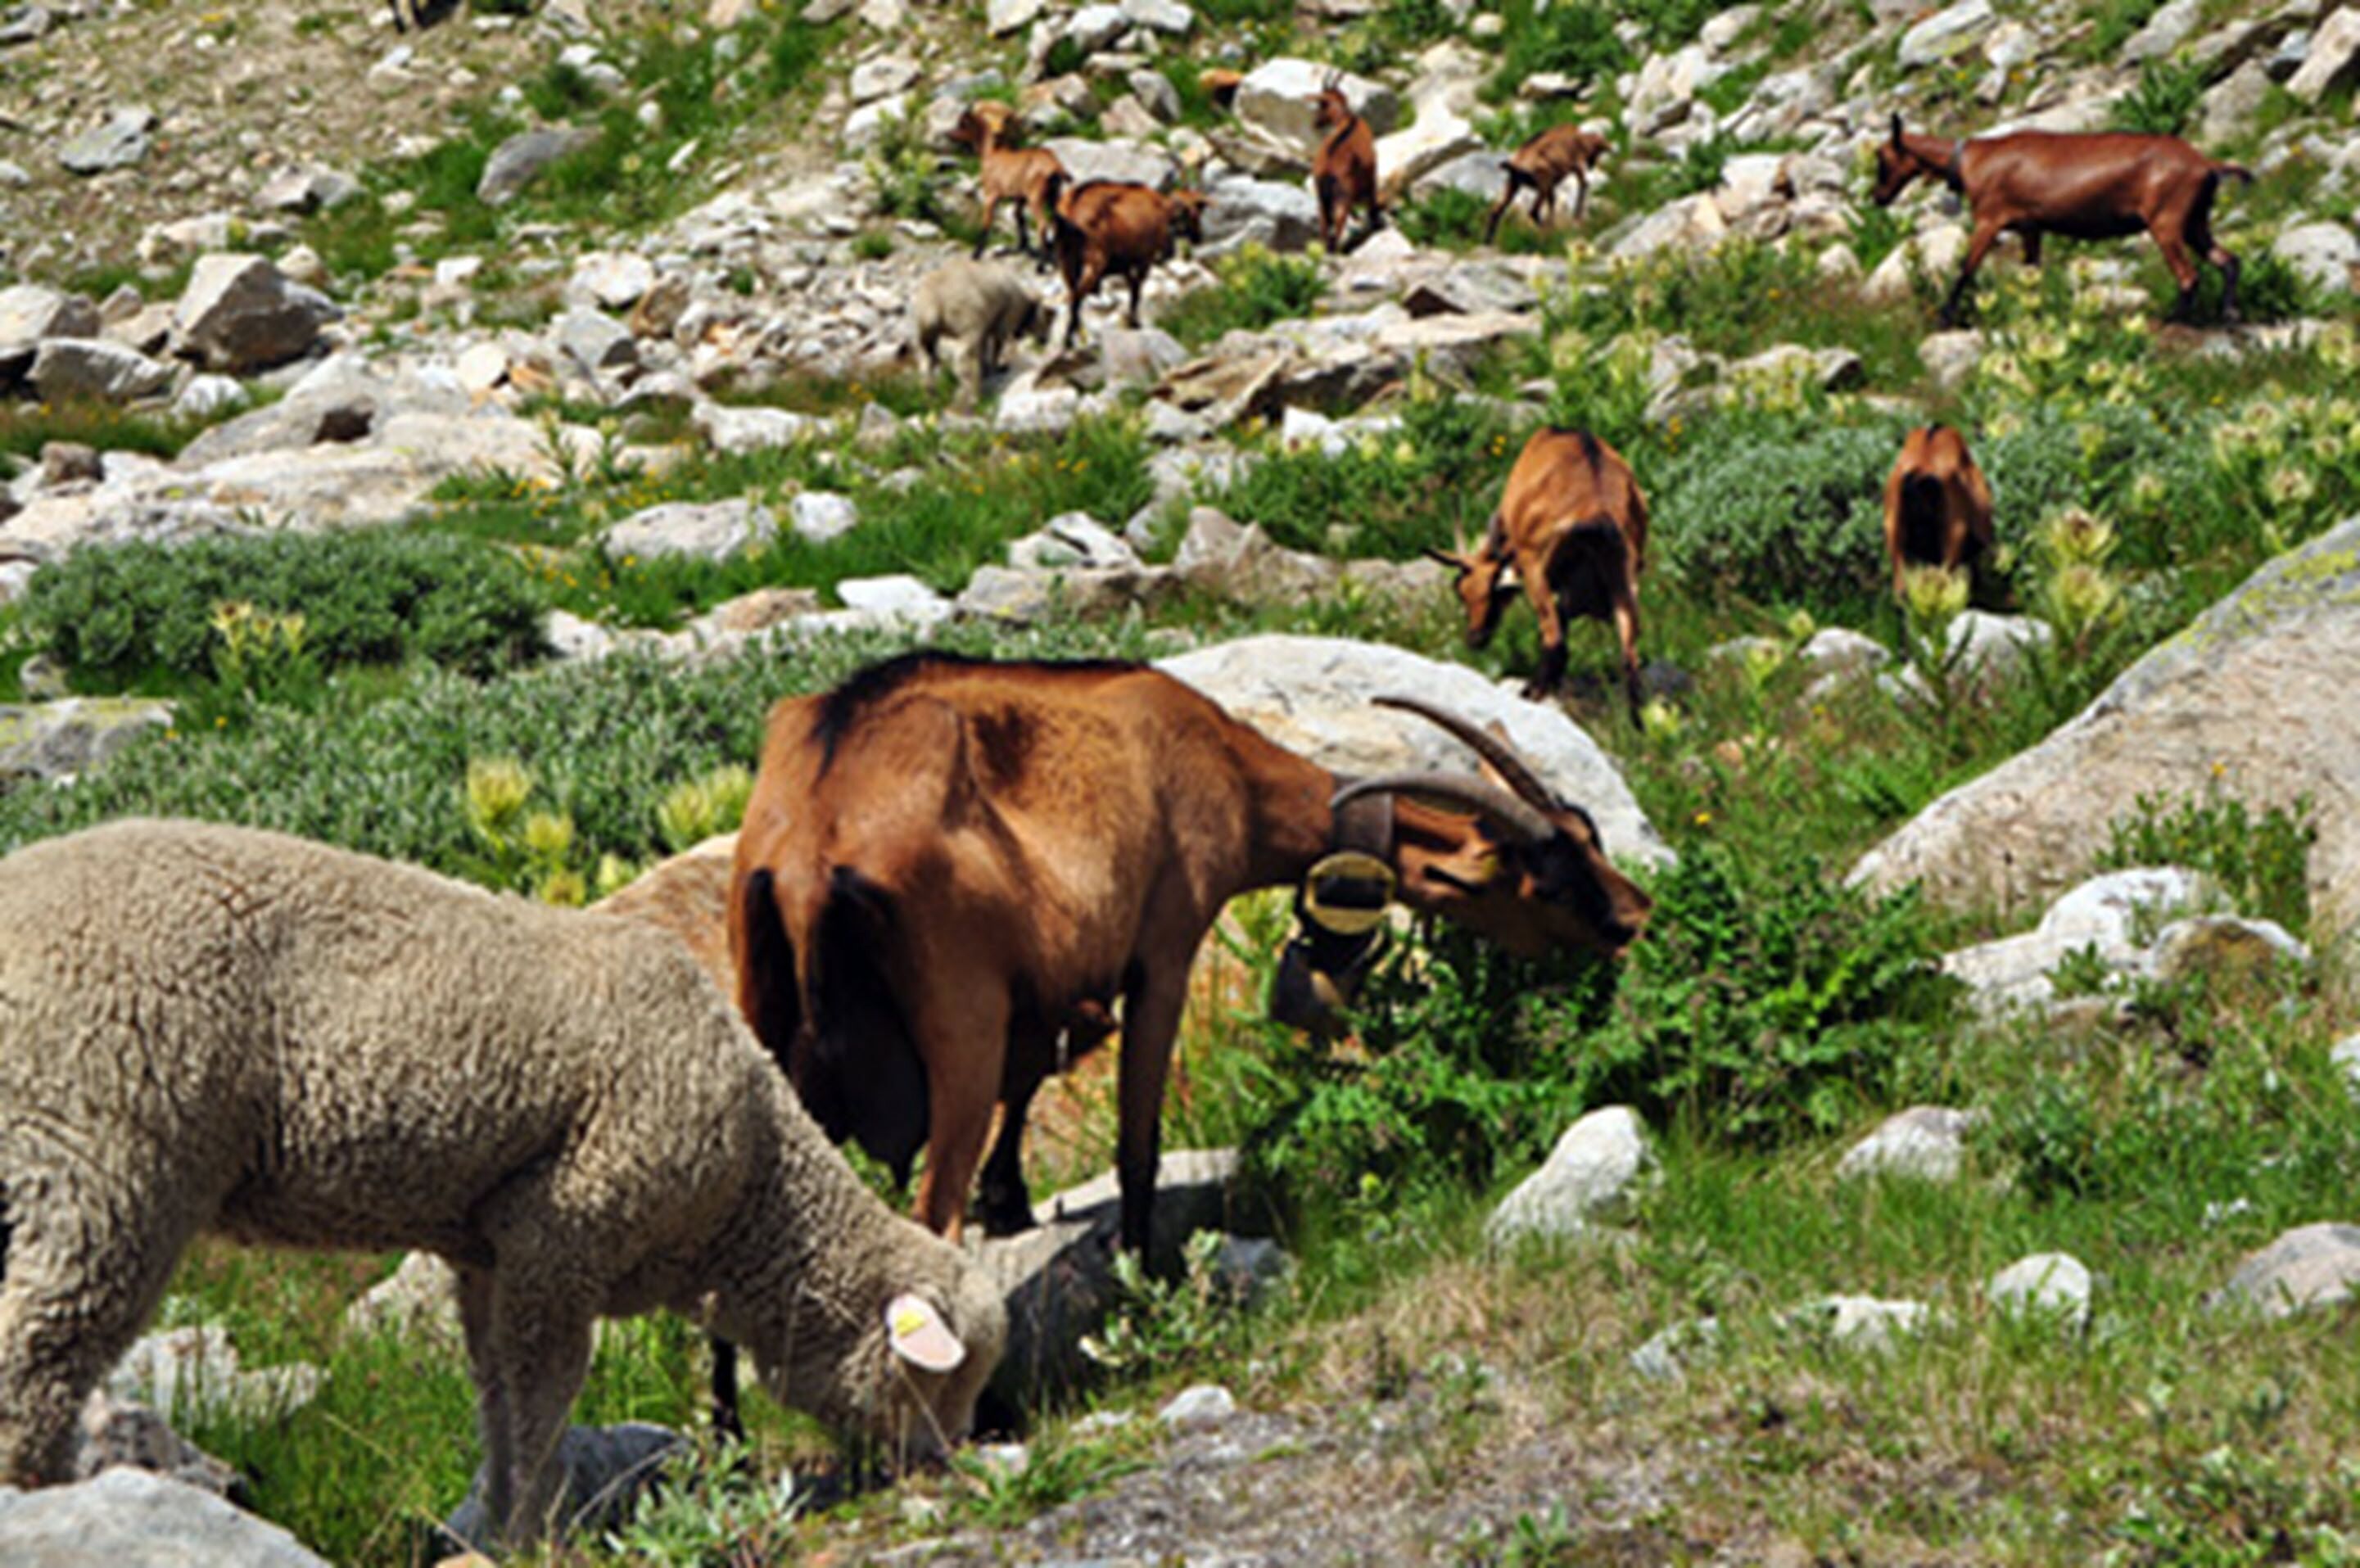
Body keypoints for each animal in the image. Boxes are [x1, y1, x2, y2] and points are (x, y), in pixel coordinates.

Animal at [0, 818, 1005, 1549]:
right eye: (942, 1379)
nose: (947, 1459)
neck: (750, 1193)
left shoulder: (487, 1246)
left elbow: (492, 1389)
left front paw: (498, 1517)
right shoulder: (565, 1222)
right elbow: (543, 1388)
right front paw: (541, 1528)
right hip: (100, 1153)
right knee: (39, 1348)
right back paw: (33, 1497)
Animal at [728, 654, 1653, 1258]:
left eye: (1587, 833)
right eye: (1549, 882)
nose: (1636, 916)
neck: (1217, 760)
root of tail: (809, 847)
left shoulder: (1041, 980)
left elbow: (1027, 1082)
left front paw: (1013, 1202)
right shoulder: (1162, 951)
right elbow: (1135, 1146)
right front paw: (1145, 1278)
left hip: (761, 1009)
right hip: (957, 1022)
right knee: (931, 1220)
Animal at [910, 258, 1053, 408]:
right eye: (1046, 316)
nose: (1045, 340)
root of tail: (933, 300)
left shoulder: (986, 329)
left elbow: (984, 350)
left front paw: (986, 369)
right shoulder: (1003, 322)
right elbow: (997, 347)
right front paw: (994, 368)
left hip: (925, 334)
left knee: (926, 363)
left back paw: (930, 397)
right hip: (969, 326)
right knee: (962, 360)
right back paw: (973, 397)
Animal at [1425, 427, 1650, 724]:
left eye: (1462, 591)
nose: (1475, 638)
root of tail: (1599, 508)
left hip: (1537, 567)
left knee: (1554, 638)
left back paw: (1529, 694)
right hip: (1625, 578)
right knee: (1629, 656)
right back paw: (1637, 725)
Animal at [1485, 124, 1608, 243]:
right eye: (1599, 151)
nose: (1592, 164)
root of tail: (1515, 165)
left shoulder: (1552, 185)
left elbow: (1552, 202)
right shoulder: (1577, 167)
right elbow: (1583, 186)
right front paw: (1576, 221)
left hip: (1514, 184)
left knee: (1495, 211)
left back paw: (1488, 240)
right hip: (1542, 184)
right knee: (1533, 211)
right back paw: (1548, 233)